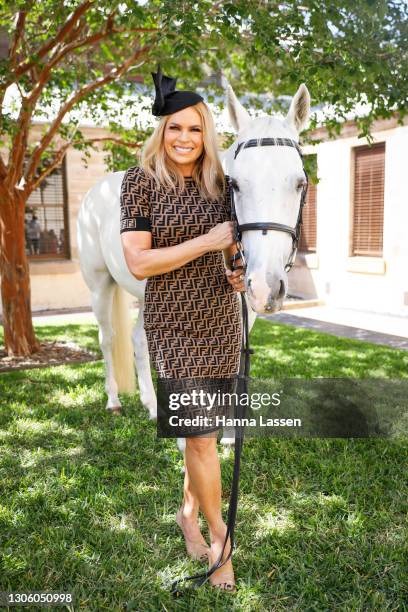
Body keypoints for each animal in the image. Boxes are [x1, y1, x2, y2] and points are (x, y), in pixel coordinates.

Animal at [75, 79, 310, 420]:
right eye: (234, 184)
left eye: (300, 183)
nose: (266, 287)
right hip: (100, 286)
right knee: (107, 339)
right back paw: (114, 400)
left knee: (138, 340)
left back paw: (151, 404)